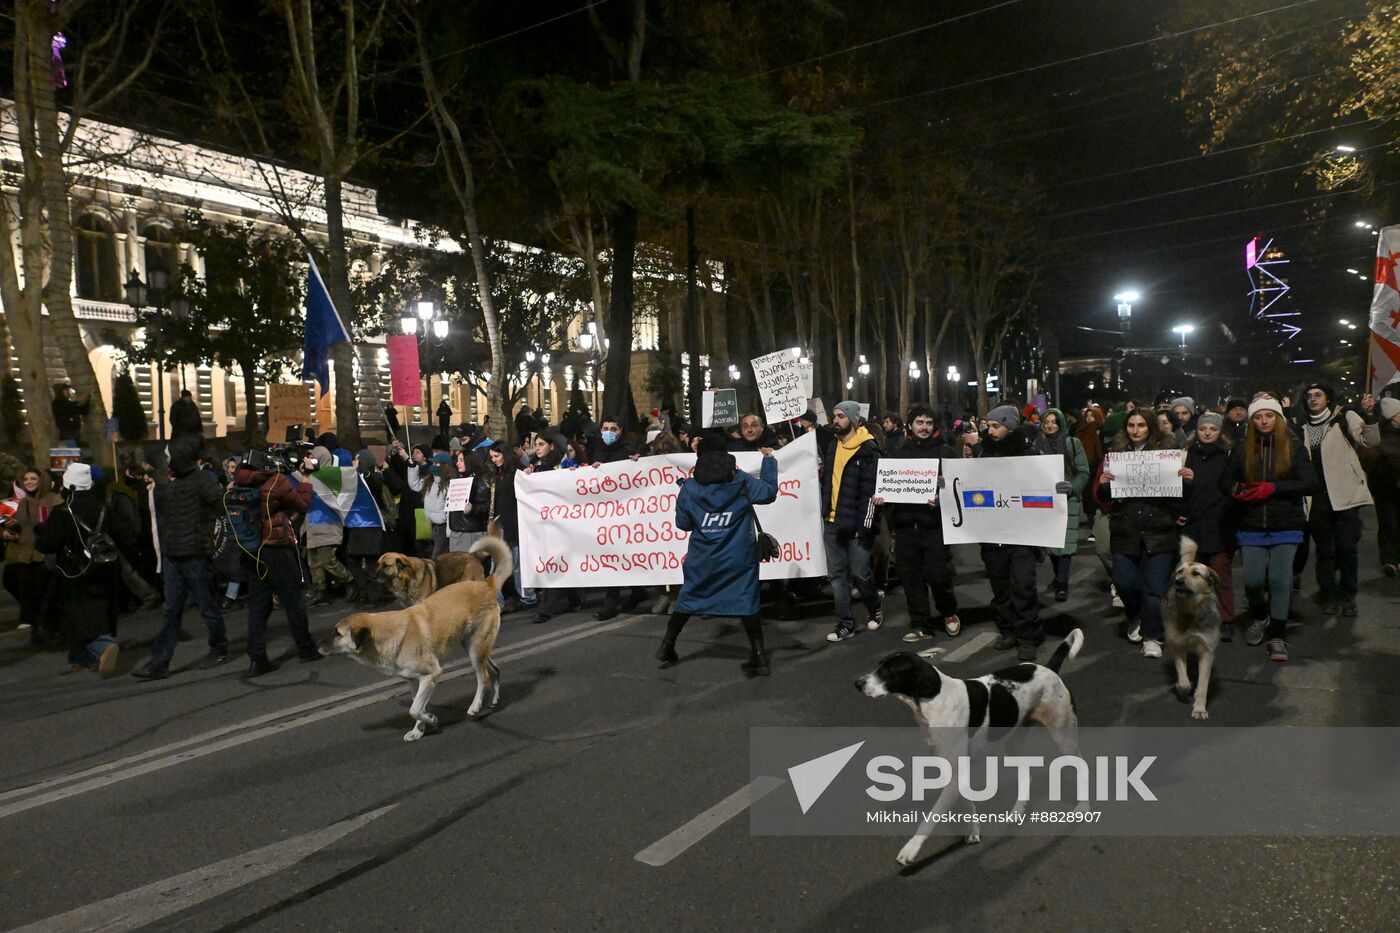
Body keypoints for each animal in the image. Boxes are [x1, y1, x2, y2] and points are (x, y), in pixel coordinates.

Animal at [327, 535, 515, 739]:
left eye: (337, 633)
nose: (319, 647)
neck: (385, 633)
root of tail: (487, 584)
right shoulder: (413, 681)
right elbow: (416, 706)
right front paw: (419, 730)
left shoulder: (431, 674)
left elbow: (414, 709)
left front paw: (430, 719)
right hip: (474, 646)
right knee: (495, 669)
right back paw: (493, 700)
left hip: (475, 649)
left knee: (484, 677)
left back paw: (475, 706)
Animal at [851, 627, 1080, 862]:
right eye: (879, 664)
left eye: (889, 671)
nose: (857, 684)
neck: (933, 700)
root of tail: (1049, 668)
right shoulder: (952, 772)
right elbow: (967, 803)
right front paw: (974, 831)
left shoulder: (954, 775)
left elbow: (930, 819)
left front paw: (910, 850)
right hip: (1014, 742)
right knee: (1027, 775)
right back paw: (1017, 812)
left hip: (1063, 736)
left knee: (1081, 768)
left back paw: (1082, 809)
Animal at [1164, 537, 1220, 717]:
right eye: (1180, 572)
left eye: (1196, 574)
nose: (1178, 582)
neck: (1191, 611)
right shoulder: (1177, 644)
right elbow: (1184, 681)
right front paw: (1180, 687)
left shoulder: (1207, 651)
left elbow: (1202, 685)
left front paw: (1200, 708)